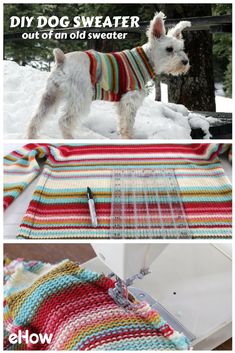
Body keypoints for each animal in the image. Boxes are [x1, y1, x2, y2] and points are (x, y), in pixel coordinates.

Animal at [26, 12, 191, 139]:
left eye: (182, 48)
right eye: (169, 49)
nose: (185, 62)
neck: (145, 59)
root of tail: (62, 60)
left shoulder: (121, 102)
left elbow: (122, 123)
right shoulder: (130, 99)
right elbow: (128, 123)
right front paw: (129, 139)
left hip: (51, 95)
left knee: (36, 118)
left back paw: (31, 138)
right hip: (81, 98)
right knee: (65, 121)